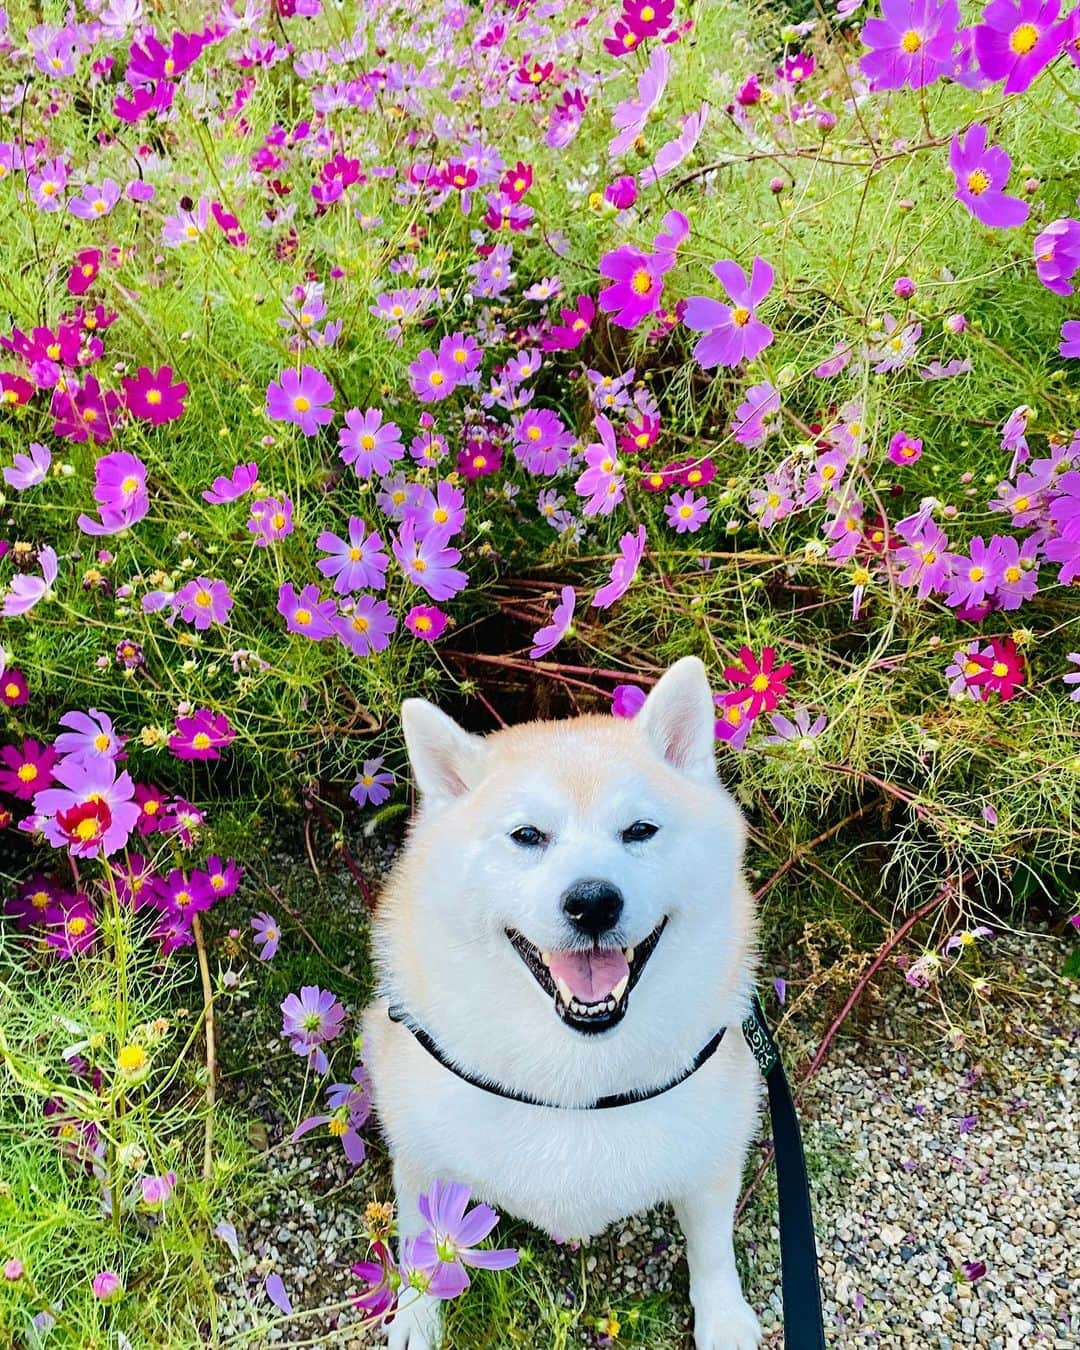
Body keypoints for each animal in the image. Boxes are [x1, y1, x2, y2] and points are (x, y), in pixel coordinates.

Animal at [367, 650, 761, 1339]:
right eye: (527, 835)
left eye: (640, 830)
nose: (593, 902)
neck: (577, 1082)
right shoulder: (418, 1151)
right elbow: (419, 1235)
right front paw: (417, 1310)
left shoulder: (716, 1146)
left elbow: (712, 1247)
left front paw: (723, 1318)